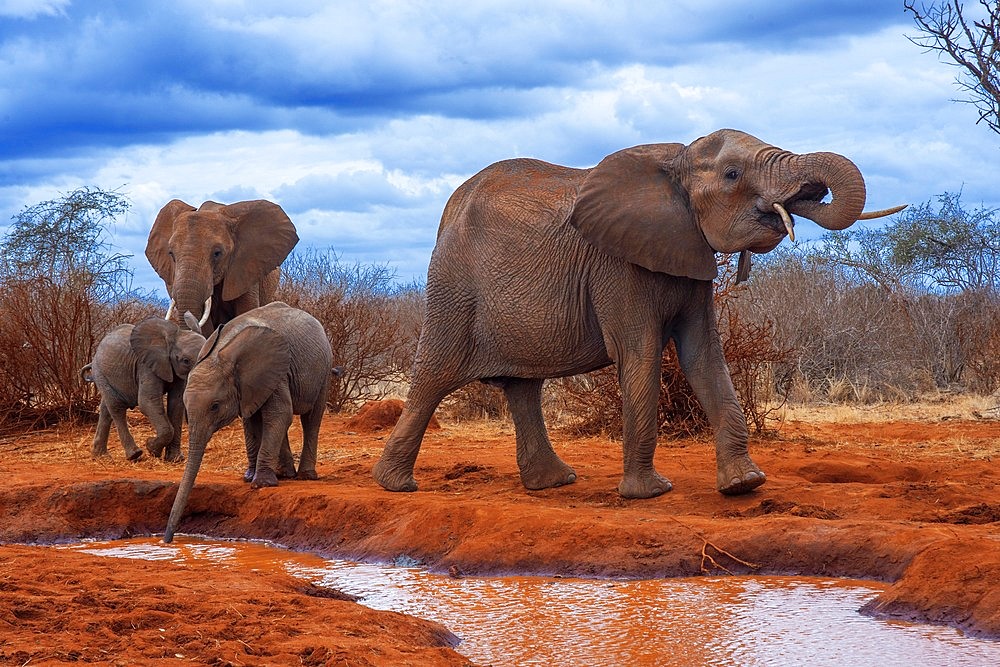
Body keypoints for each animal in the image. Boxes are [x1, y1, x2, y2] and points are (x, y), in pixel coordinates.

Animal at [82, 316, 207, 462]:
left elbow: (176, 405)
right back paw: (134, 454)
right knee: (116, 407)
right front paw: (151, 448)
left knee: (106, 409)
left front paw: (175, 459)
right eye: (186, 361)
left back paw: (101, 456)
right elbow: (147, 402)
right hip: (100, 372)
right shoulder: (146, 366)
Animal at [376, 129, 908, 500]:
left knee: (522, 388)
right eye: (732, 175)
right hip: (453, 288)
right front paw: (650, 494)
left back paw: (554, 484)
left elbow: (704, 357)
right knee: (434, 376)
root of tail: (448, 210)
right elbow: (640, 353)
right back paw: (395, 485)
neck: (675, 162)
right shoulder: (617, 265)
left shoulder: (690, 256)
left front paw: (745, 485)